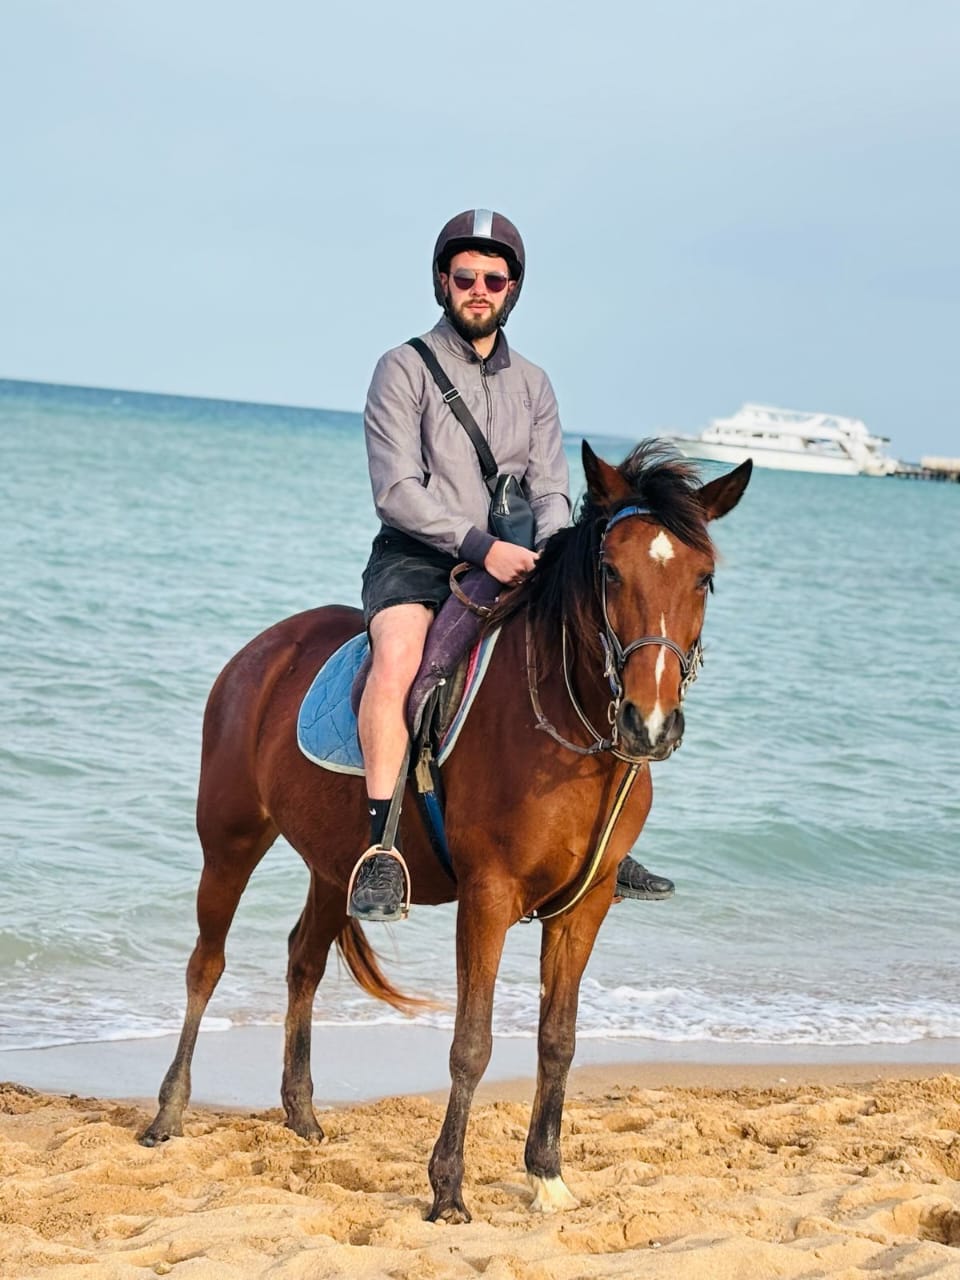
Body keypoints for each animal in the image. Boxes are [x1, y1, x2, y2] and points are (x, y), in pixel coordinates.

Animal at [140, 440, 751, 1223]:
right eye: (611, 571)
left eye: (704, 578)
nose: (649, 722)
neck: (567, 730)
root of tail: (265, 648)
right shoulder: (487, 897)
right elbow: (472, 1043)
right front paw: (448, 1190)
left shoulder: (585, 906)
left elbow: (558, 1039)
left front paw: (547, 1175)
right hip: (230, 839)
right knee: (206, 965)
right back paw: (168, 1112)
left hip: (335, 865)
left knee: (304, 961)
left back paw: (302, 1116)